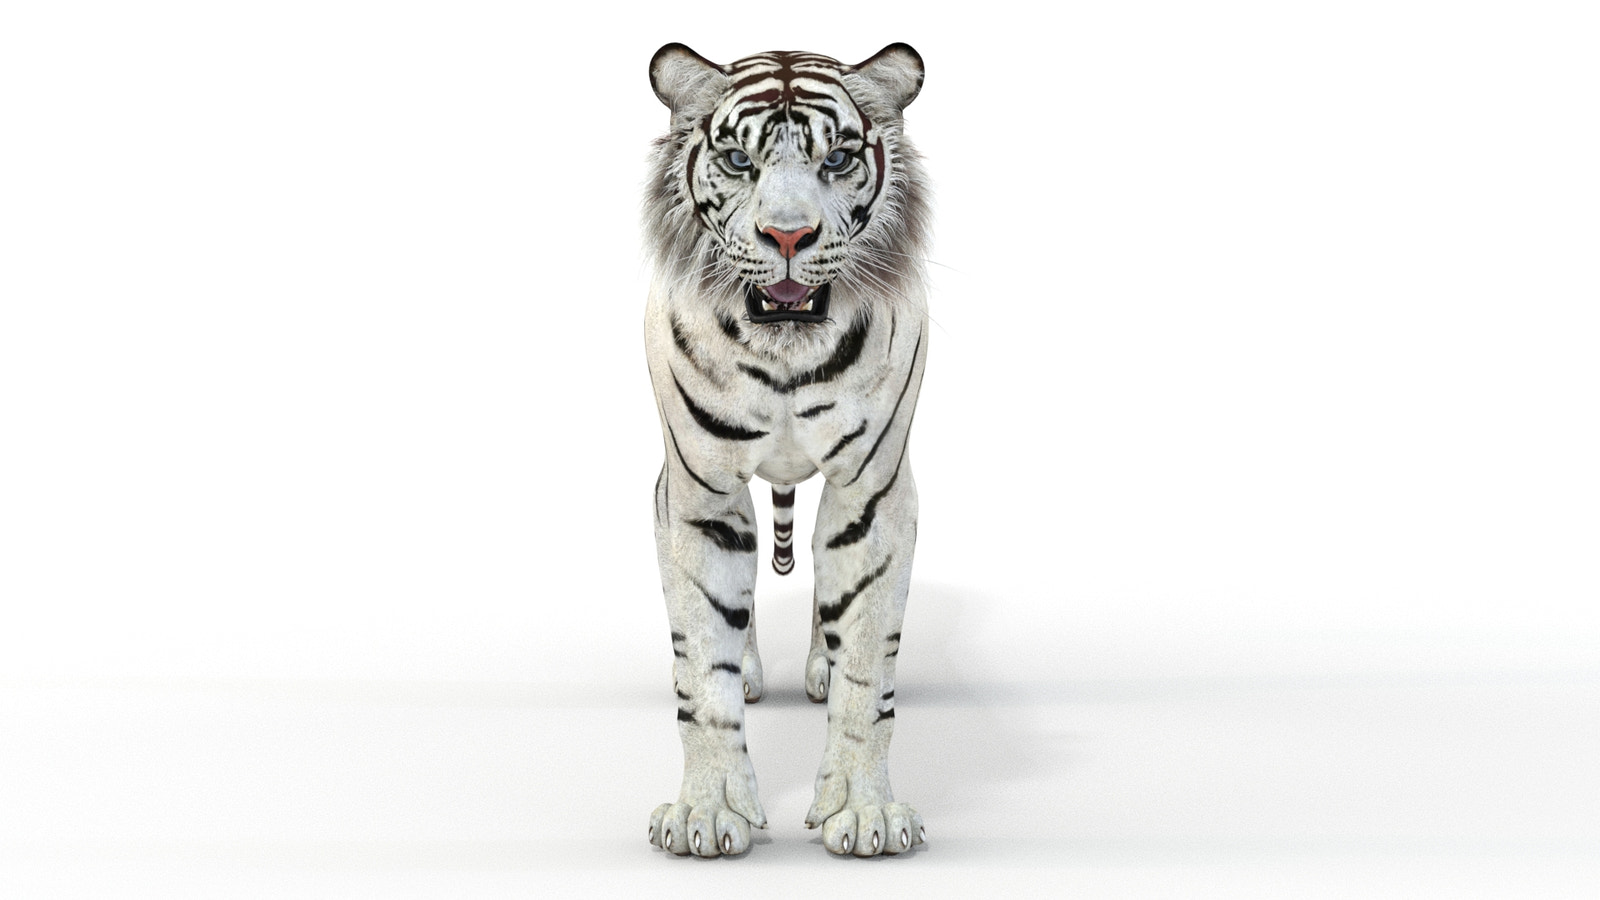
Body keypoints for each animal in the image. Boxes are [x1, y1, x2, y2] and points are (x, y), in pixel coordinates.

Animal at [641, 43, 931, 858]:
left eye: (836, 159)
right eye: (739, 160)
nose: (790, 238)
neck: (785, 357)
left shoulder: (872, 492)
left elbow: (866, 658)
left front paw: (864, 812)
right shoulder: (699, 494)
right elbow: (701, 656)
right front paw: (707, 812)